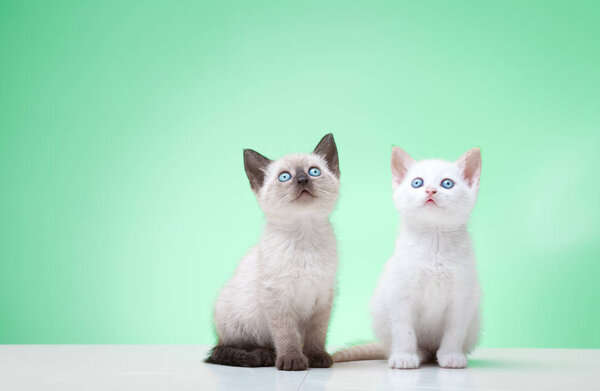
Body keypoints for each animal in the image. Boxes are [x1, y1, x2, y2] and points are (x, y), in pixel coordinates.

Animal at [206, 133, 340, 372]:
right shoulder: (277, 297)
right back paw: (264, 355)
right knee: (229, 349)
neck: (304, 235)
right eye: (285, 177)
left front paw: (317, 357)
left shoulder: (323, 297)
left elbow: (317, 334)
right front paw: (292, 361)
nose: (302, 180)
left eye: (314, 171)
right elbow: (287, 334)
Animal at [332, 147, 482, 370]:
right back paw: (416, 353)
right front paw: (404, 356)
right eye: (417, 183)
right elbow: (404, 331)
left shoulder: (462, 297)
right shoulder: (400, 295)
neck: (434, 241)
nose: (430, 190)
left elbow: (454, 332)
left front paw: (451, 356)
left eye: (447, 183)